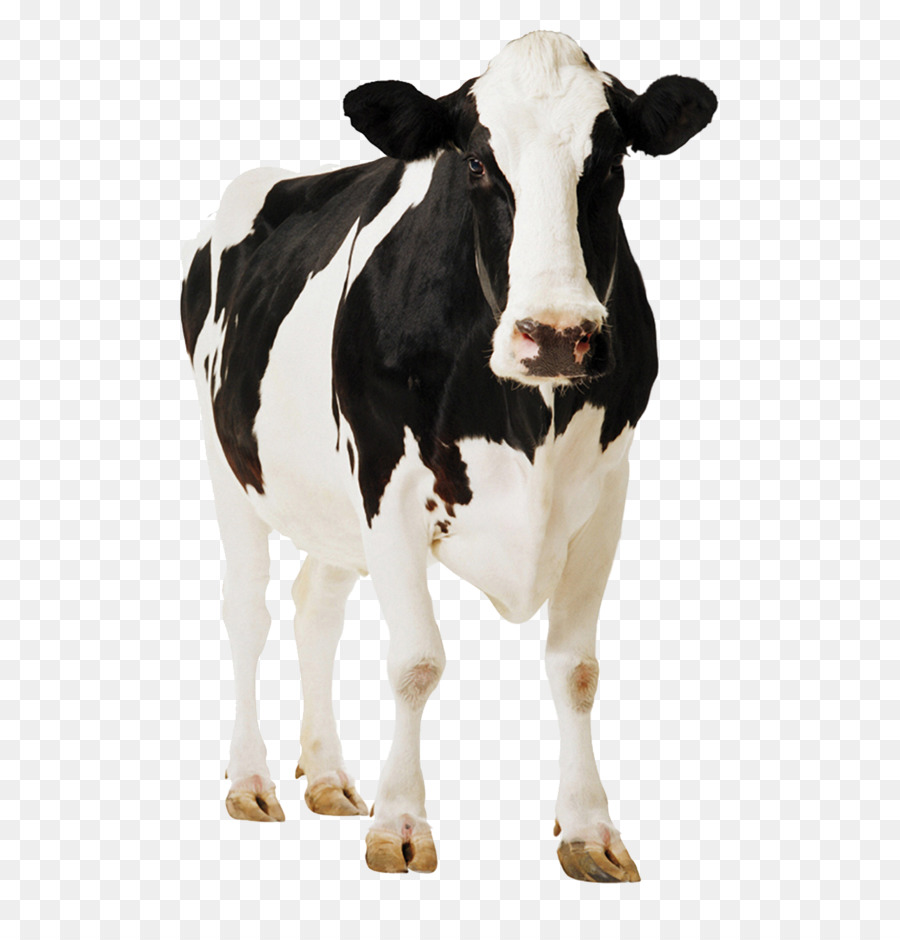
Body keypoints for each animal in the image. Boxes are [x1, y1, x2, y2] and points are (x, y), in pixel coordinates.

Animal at [180, 31, 717, 882]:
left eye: (610, 162)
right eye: (475, 164)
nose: (557, 334)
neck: (527, 417)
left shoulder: (605, 493)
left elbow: (577, 668)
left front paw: (589, 829)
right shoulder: (387, 484)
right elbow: (416, 662)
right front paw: (400, 823)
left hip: (332, 503)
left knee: (314, 606)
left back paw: (327, 775)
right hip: (229, 462)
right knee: (246, 613)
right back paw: (250, 780)